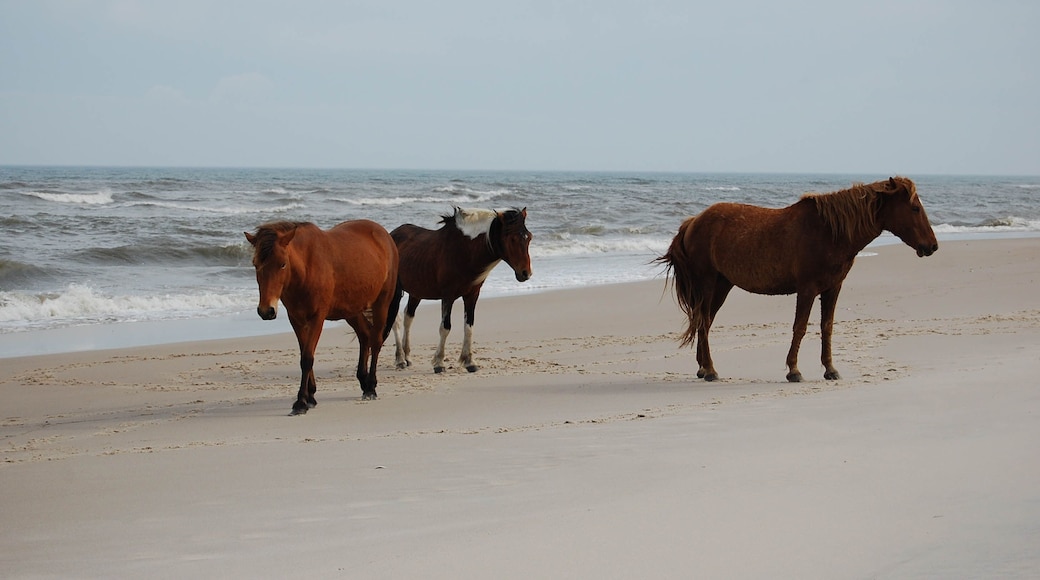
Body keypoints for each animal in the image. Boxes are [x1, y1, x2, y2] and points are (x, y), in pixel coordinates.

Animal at [245, 220, 402, 415]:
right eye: (255, 265)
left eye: (282, 264)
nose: (266, 311)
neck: (306, 268)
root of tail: (385, 235)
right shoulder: (296, 320)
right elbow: (305, 354)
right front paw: (310, 397)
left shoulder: (317, 319)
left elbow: (307, 358)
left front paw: (301, 403)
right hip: (352, 311)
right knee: (365, 336)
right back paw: (364, 382)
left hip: (381, 303)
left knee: (376, 341)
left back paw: (371, 387)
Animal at [391, 207, 532, 373]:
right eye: (512, 239)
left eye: (529, 238)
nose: (526, 273)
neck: (465, 251)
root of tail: (392, 235)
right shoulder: (448, 296)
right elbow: (445, 327)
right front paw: (439, 363)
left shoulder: (472, 296)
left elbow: (468, 327)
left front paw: (469, 361)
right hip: (396, 291)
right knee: (396, 320)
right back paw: (400, 359)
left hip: (416, 292)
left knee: (408, 317)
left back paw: (407, 356)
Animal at [657, 176, 938, 383]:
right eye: (914, 208)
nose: (932, 246)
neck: (828, 232)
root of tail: (693, 221)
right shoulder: (807, 289)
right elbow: (800, 327)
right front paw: (794, 370)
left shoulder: (832, 288)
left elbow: (827, 327)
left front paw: (830, 369)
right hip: (707, 283)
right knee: (703, 322)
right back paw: (711, 370)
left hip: (722, 285)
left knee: (705, 321)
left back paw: (703, 368)